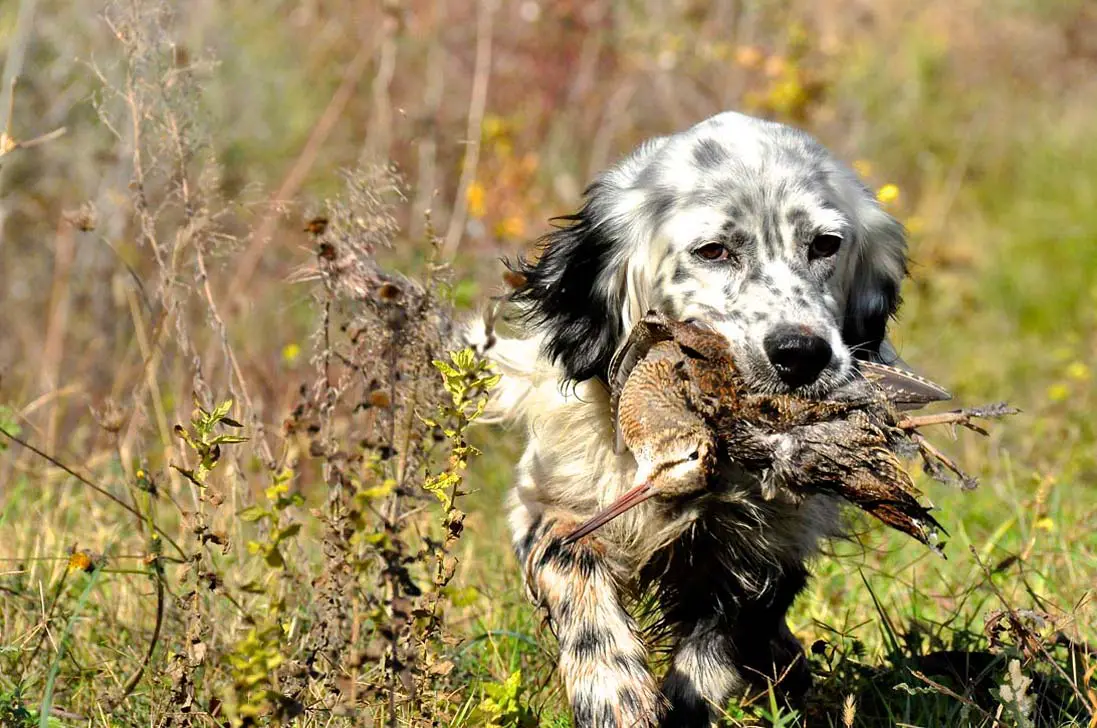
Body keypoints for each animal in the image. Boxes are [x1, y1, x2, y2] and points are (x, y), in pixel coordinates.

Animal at [462, 110, 917, 723]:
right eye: (713, 251)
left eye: (826, 244)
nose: (802, 354)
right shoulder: (548, 504)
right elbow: (573, 570)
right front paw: (614, 693)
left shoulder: (771, 545)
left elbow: (721, 636)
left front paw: (688, 697)